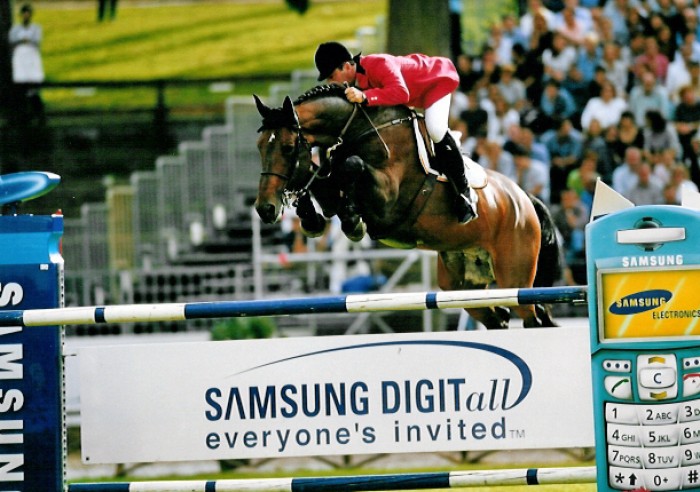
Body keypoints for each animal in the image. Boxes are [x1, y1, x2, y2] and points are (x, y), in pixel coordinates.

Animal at [253, 85, 561, 329]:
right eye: (259, 147)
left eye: (288, 148)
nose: (264, 209)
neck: (361, 128)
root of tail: (525, 199)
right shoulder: (334, 193)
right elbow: (321, 177)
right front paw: (311, 218)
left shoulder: (386, 201)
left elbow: (351, 166)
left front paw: (351, 222)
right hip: (461, 283)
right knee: (497, 316)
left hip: (514, 274)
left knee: (534, 315)